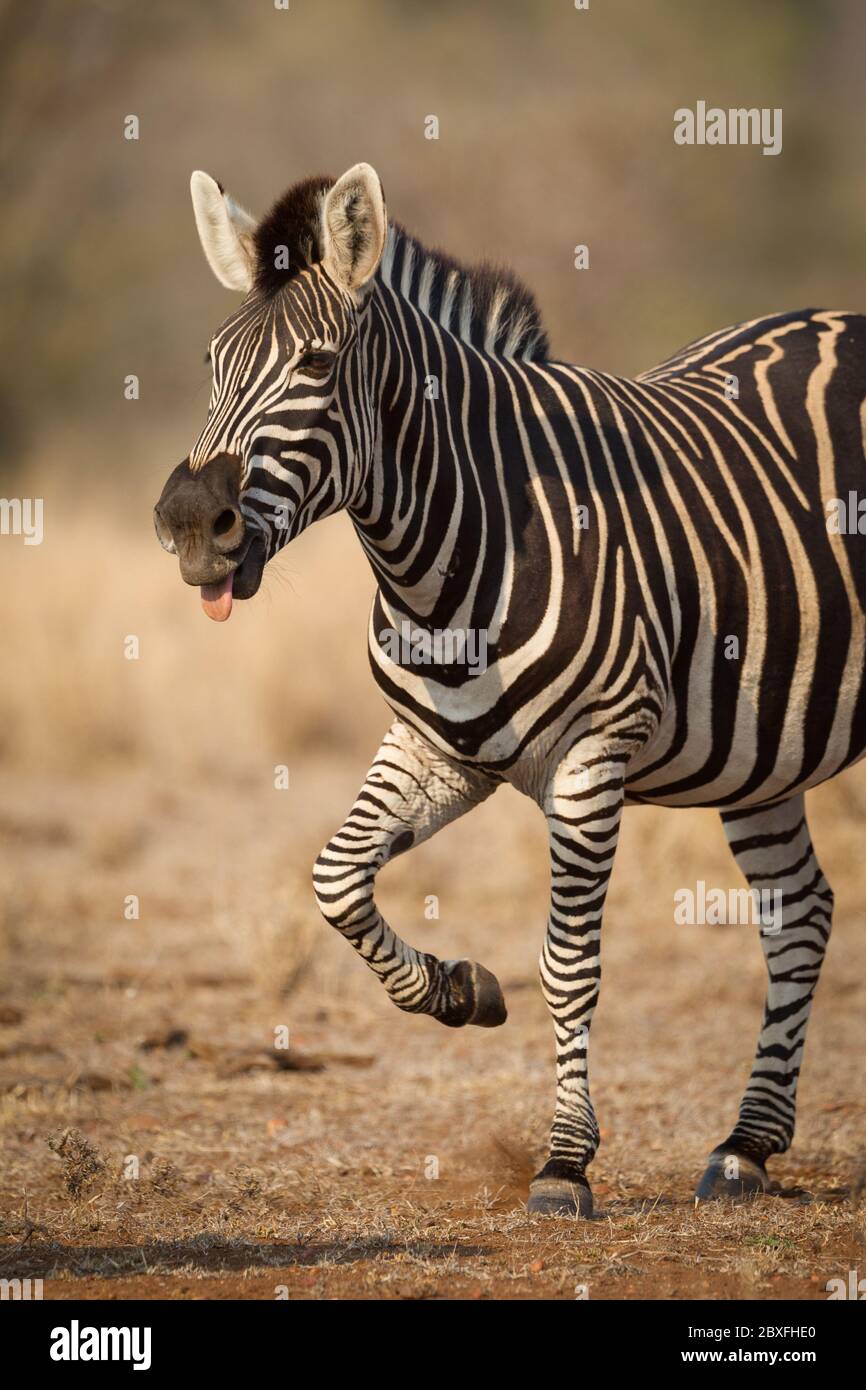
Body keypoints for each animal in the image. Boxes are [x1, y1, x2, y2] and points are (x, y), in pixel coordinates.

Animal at [155, 162, 866, 1217]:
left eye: (317, 365)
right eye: (210, 362)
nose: (190, 523)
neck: (447, 559)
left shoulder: (592, 759)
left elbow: (568, 967)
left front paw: (565, 1163)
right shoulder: (434, 749)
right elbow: (335, 879)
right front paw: (458, 990)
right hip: (760, 747)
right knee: (801, 915)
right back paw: (745, 1148)